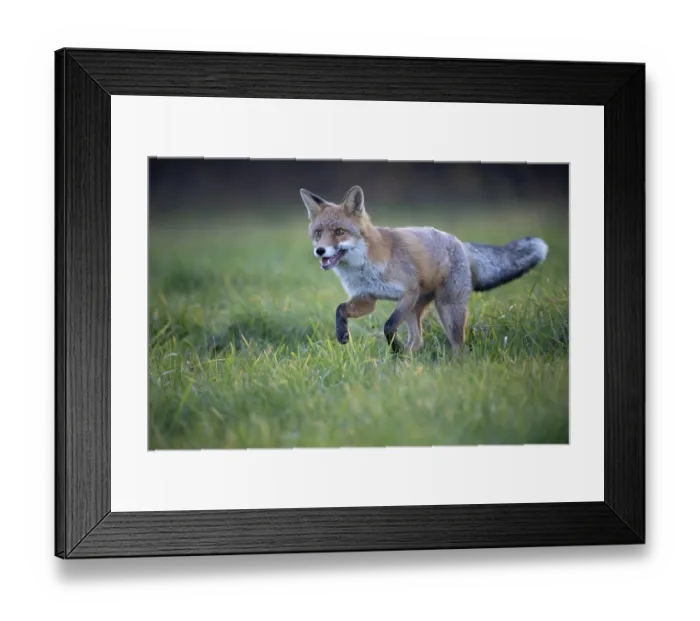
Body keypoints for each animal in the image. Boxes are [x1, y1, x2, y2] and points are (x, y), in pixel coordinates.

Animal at [300, 185, 549, 353]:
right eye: (318, 233)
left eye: (339, 232)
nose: (320, 251)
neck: (363, 269)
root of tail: (460, 243)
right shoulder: (367, 298)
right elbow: (340, 309)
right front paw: (342, 333)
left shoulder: (408, 291)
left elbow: (388, 326)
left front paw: (395, 348)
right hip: (415, 310)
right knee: (418, 340)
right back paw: (405, 362)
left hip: (447, 310)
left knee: (458, 345)